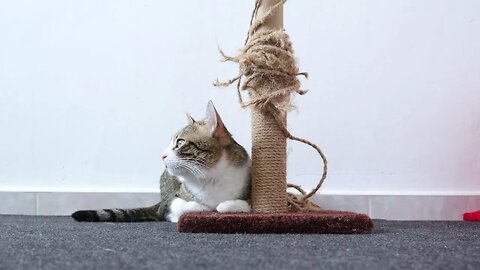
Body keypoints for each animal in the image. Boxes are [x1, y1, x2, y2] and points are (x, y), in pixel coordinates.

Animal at [72, 100, 251, 223]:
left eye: (180, 142)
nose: (162, 155)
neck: (210, 178)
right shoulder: (172, 199)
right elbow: (182, 205)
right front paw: (203, 208)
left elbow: (237, 205)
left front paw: (223, 206)